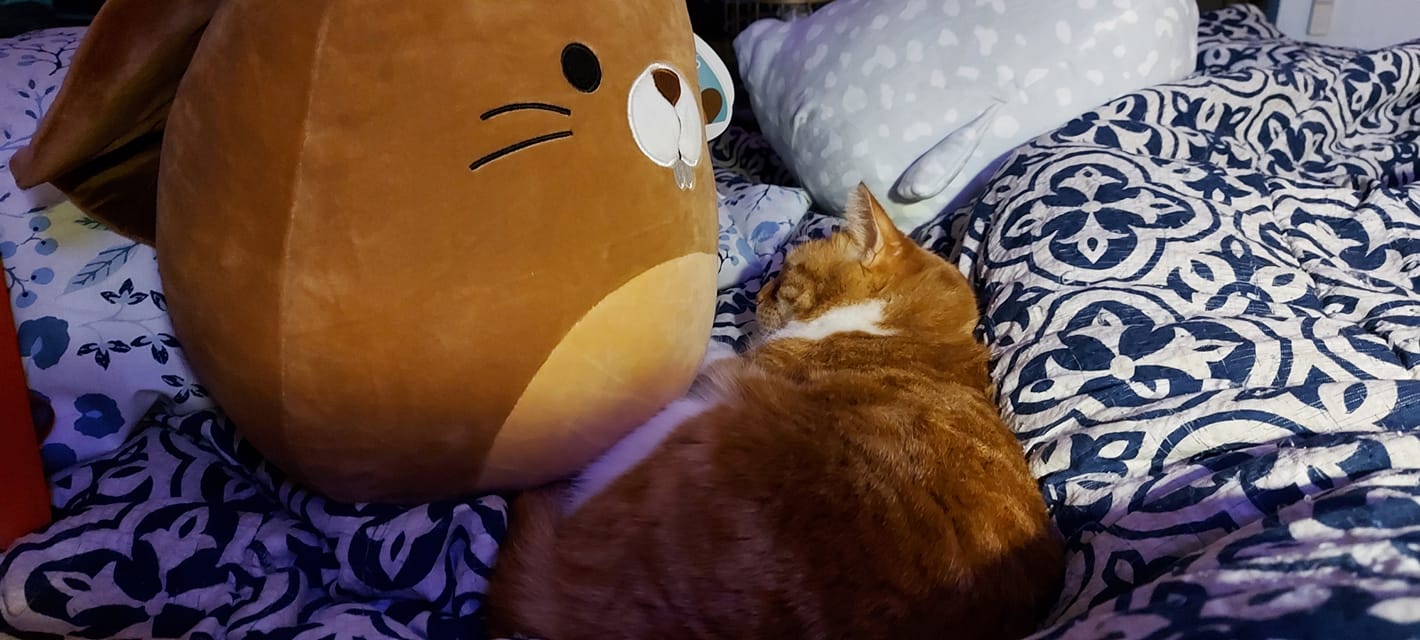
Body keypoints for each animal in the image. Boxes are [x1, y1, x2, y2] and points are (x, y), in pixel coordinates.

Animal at [482, 185, 1062, 640]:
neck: (909, 331)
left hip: (683, 422)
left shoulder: (730, 369)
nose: (755, 292)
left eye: (784, 273)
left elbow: (716, 351)